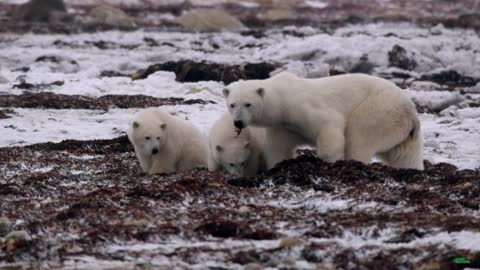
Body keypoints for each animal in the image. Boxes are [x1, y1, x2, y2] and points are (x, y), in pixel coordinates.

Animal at [222, 70, 424, 170]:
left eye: (248, 104)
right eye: (232, 104)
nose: (238, 122)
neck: (282, 98)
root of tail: (411, 111)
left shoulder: (301, 106)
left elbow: (329, 123)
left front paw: (328, 161)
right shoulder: (283, 126)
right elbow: (278, 148)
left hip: (379, 109)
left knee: (359, 136)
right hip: (401, 129)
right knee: (404, 155)